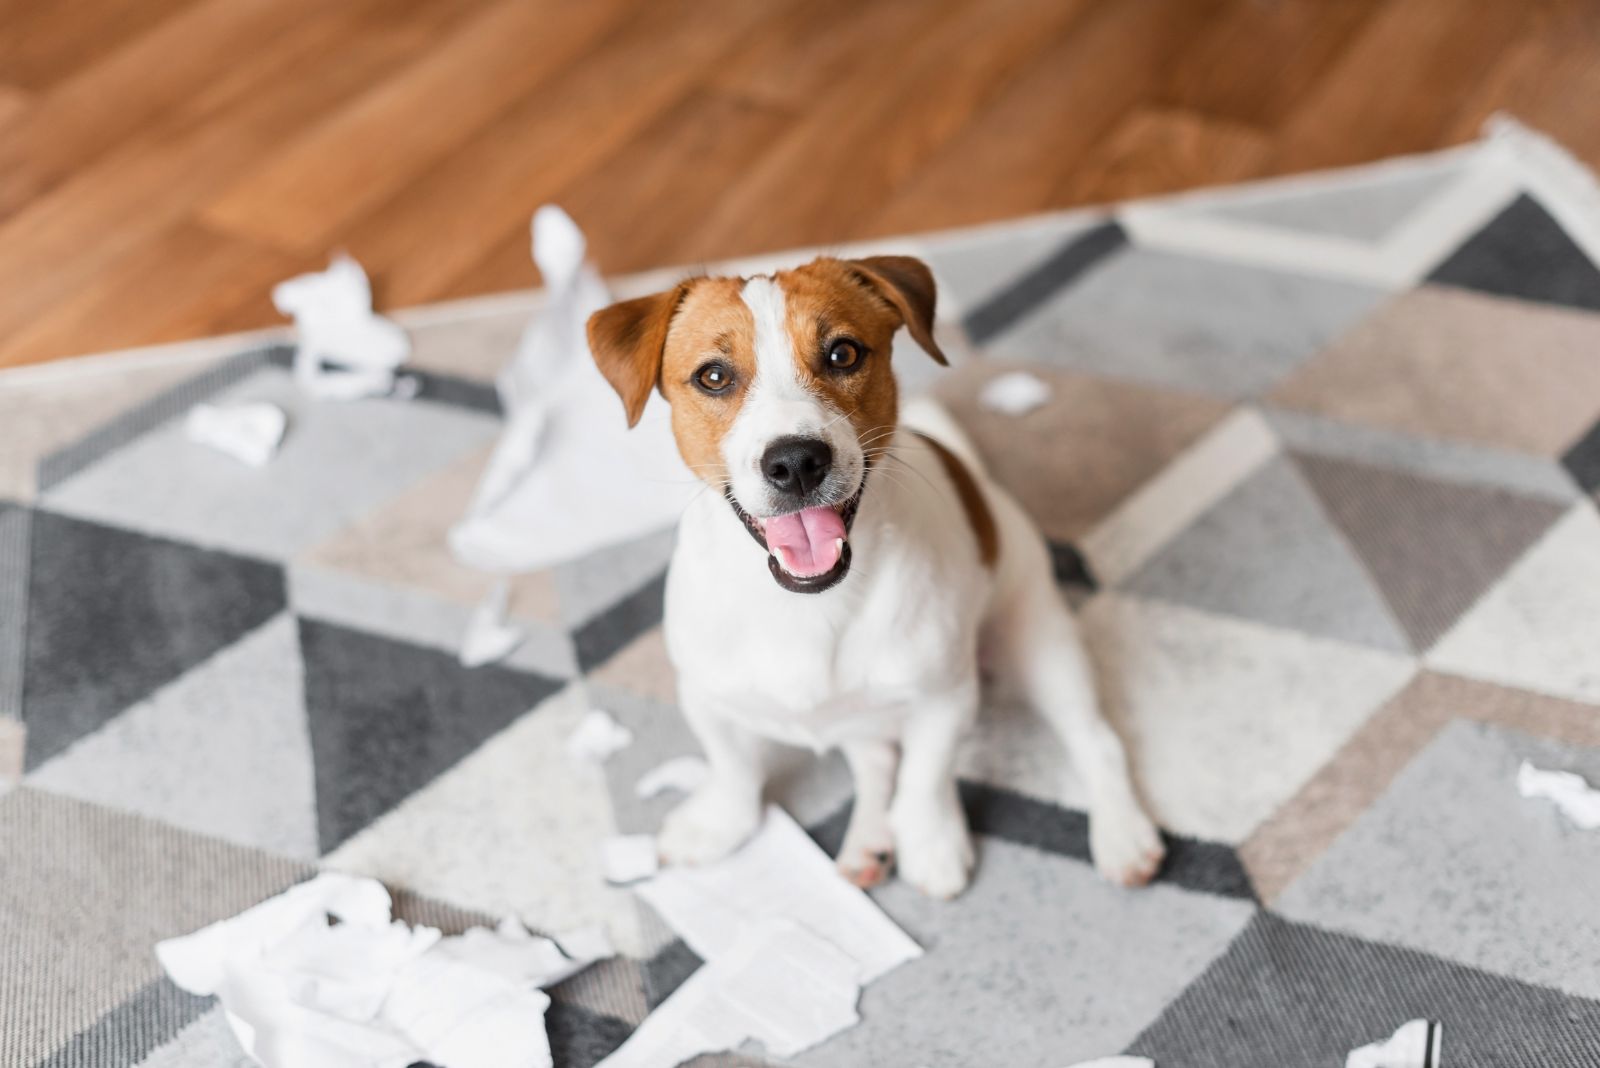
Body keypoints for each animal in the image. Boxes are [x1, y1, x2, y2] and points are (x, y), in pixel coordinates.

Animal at [588, 254, 1164, 895]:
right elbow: (733, 766)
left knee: (1096, 742)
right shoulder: (705, 694)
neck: (808, 604)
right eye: (713, 376)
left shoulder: (945, 697)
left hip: (1041, 644)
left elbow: (926, 778)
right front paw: (717, 823)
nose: (796, 461)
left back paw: (1122, 835)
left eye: (843, 354)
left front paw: (931, 842)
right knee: (876, 759)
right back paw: (869, 840)